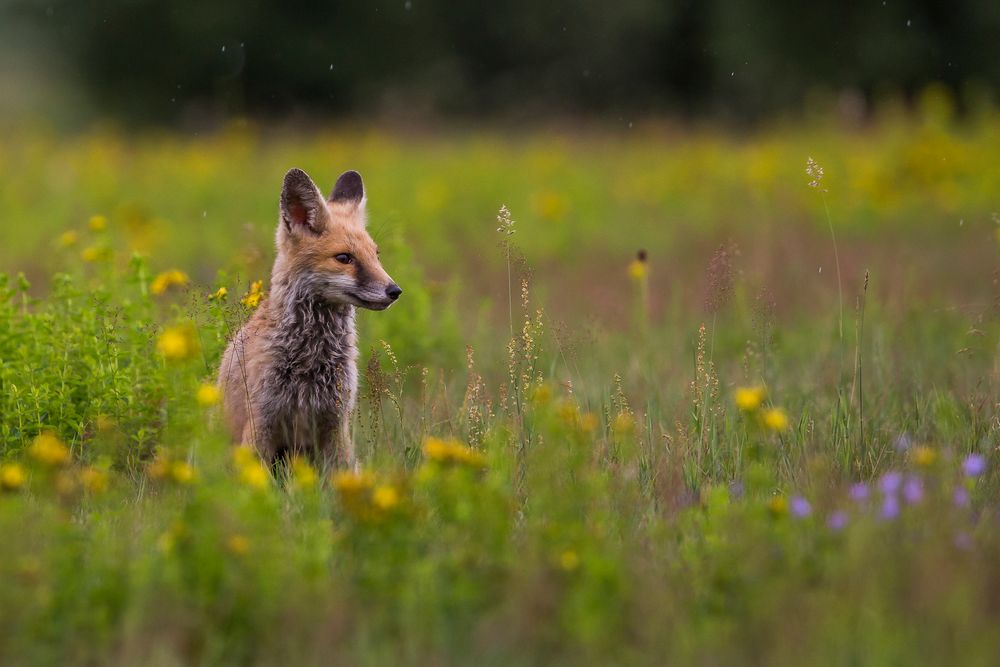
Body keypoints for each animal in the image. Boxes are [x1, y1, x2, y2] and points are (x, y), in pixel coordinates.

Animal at [221, 170, 400, 468]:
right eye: (344, 258)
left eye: (376, 254)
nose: (395, 291)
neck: (311, 361)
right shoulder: (260, 422)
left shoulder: (336, 424)